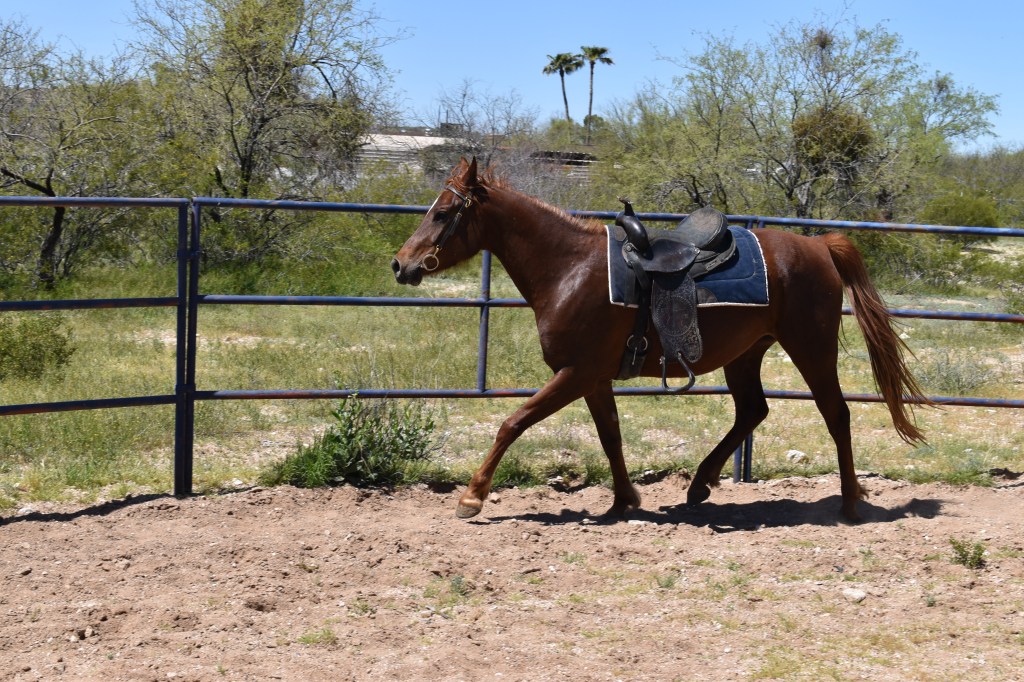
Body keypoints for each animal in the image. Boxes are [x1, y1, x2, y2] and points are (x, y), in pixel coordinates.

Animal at [391, 158, 928, 522]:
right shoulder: (593, 377)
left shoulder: (575, 373)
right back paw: (700, 485)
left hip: (812, 348)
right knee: (753, 411)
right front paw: (624, 499)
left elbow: (513, 422)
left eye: (442, 213)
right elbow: (610, 435)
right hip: (745, 354)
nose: (401, 264)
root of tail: (819, 245)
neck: (569, 269)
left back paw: (850, 502)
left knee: (836, 414)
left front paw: (472, 496)